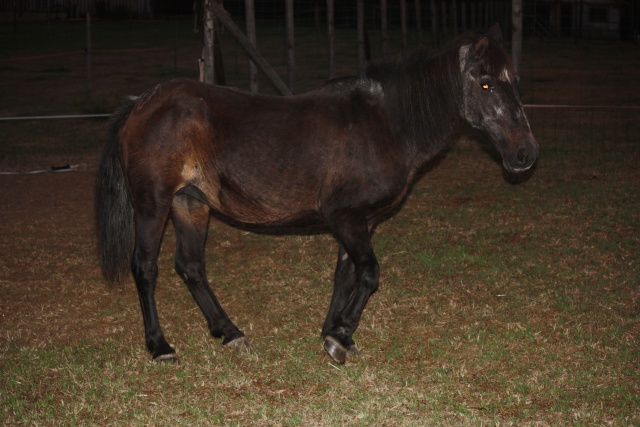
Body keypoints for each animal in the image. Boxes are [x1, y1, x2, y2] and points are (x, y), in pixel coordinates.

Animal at [94, 25, 536, 364]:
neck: (387, 122)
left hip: (190, 203)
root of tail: (141, 103)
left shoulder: (361, 222)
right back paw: (160, 346)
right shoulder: (347, 218)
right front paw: (339, 339)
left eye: (515, 81)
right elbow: (370, 274)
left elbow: (346, 275)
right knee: (145, 268)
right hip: (153, 204)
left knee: (190, 266)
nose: (525, 154)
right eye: (486, 83)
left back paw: (230, 332)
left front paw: (335, 329)